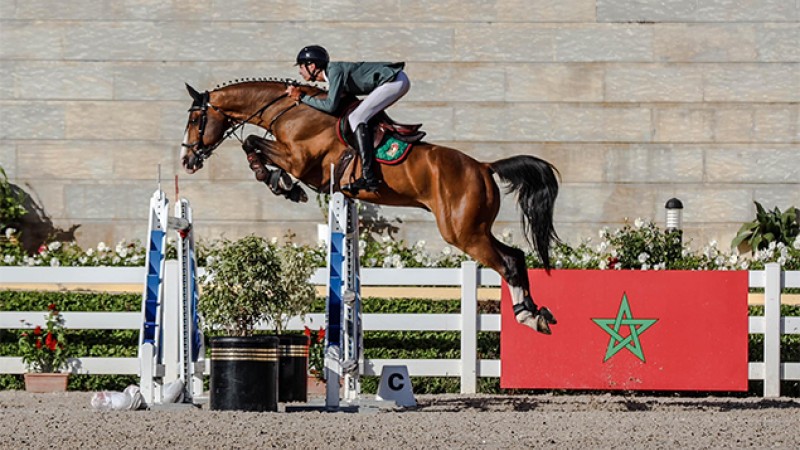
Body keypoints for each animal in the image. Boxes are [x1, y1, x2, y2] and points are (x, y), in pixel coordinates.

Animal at [180, 79, 564, 334]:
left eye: (195, 120)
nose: (187, 160)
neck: (291, 111)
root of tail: (484, 167)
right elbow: (253, 143)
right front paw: (279, 183)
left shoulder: (301, 160)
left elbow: (251, 141)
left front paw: (280, 183)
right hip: (475, 229)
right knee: (516, 256)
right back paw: (534, 313)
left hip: (463, 233)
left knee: (507, 264)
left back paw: (528, 316)